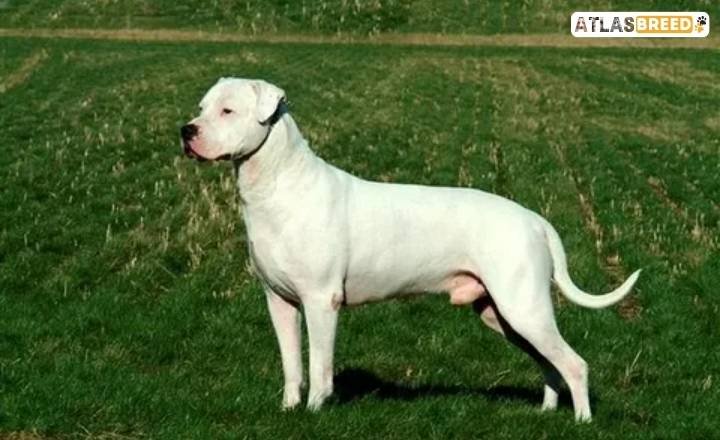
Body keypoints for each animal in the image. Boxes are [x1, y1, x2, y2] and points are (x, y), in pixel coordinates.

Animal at [181, 77, 640, 422]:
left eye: (228, 111)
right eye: (201, 107)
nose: (187, 130)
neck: (278, 185)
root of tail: (535, 220)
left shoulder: (320, 300)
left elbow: (320, 365)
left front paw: (315, 410)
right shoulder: (279, 302)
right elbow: (292, 363)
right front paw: (289, 408)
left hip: (523, 307)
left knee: (574, 364)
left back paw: (582, 421)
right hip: (504, 315)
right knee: (549, 363)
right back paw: (546, 412)